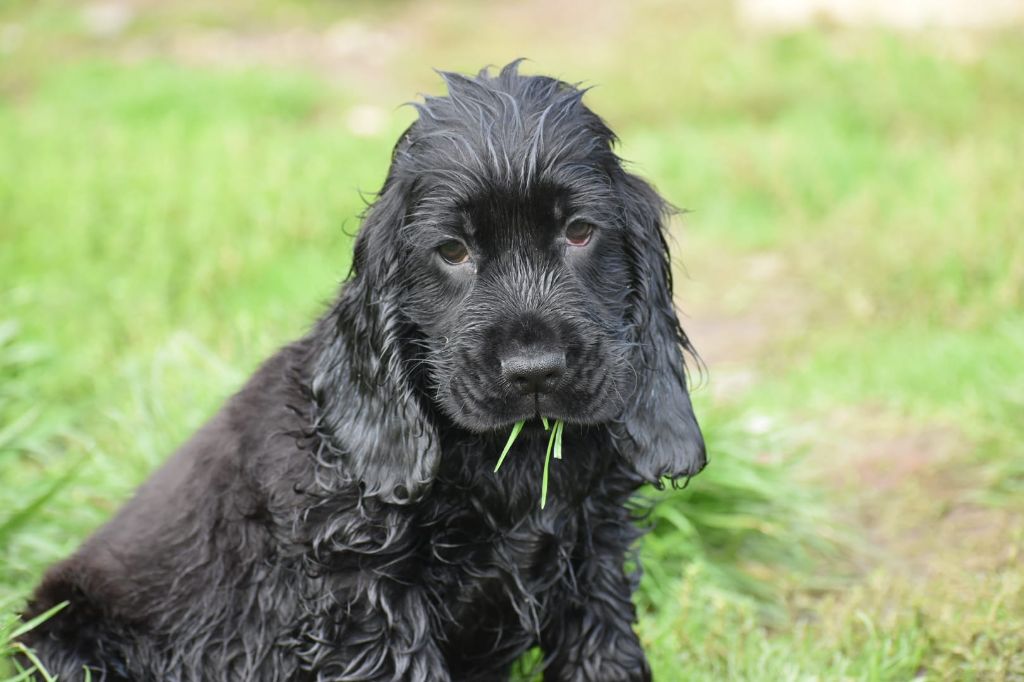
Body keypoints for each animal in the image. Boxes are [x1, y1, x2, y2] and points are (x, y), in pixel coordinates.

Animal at [19, 61, 704, 675]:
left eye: (580, 233)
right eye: (452, 251)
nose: (535, 371)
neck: (513, 456)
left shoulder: (595, 559)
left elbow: (605, 656)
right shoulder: (365, 597)